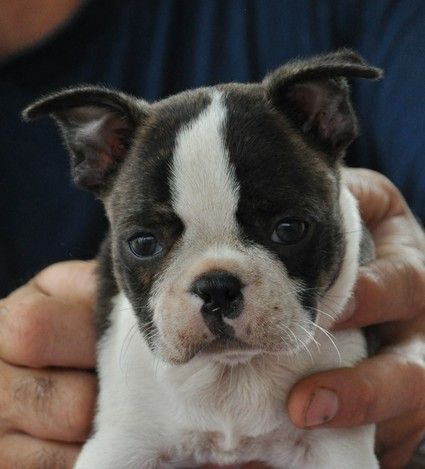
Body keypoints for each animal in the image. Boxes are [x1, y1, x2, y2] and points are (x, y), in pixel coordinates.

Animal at [24, 49, 382, 468]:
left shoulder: (336, 444)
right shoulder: (121, 442)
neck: (232, 373)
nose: (216, 288)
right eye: (143, 244)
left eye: (290, 229)